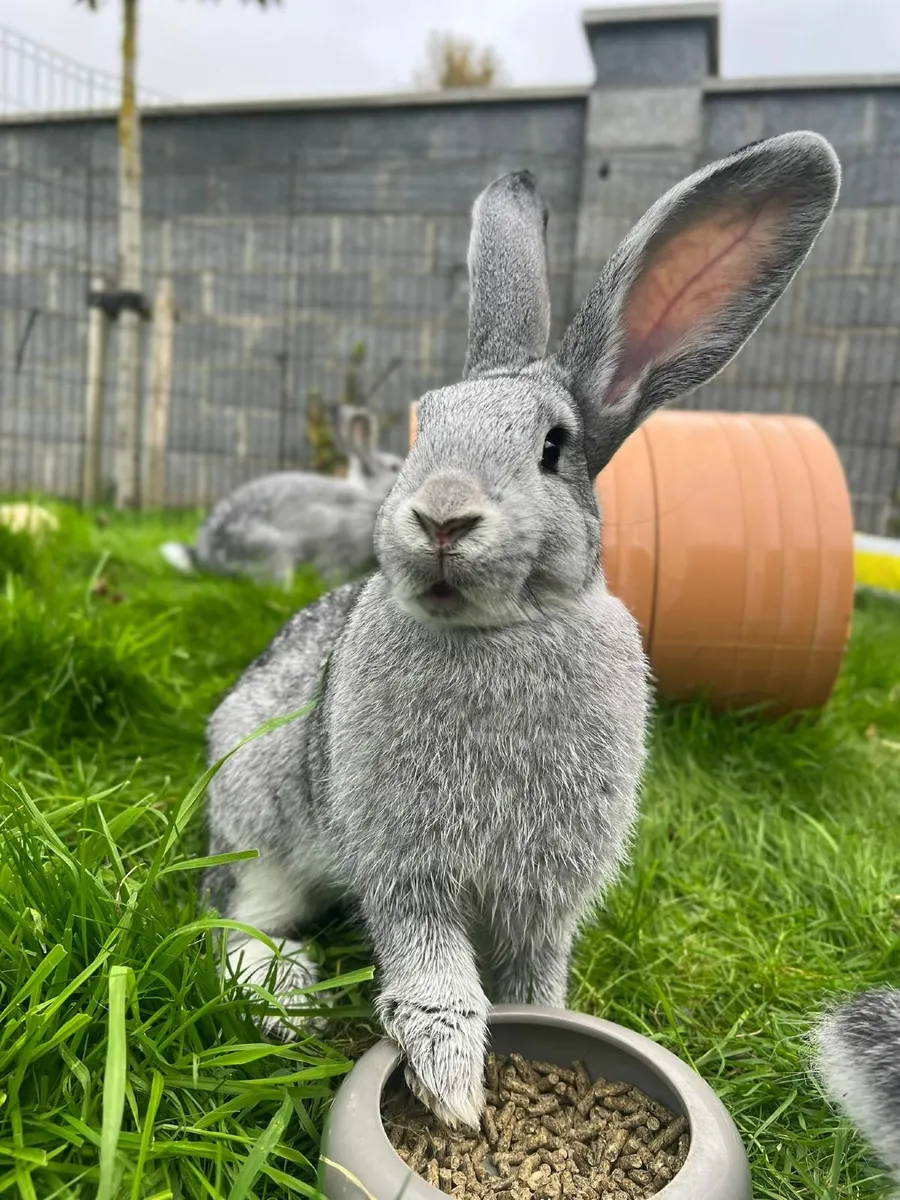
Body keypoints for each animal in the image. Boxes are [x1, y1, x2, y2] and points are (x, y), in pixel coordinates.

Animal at [202, 132, 840, 1129]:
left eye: (553, 447)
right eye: (424, 426)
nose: (442, 516)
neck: (498, 632)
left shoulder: (543, 898)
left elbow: (535, 979)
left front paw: (536, 1039)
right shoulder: (410, 875)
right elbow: (431, 973)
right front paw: (456, 1087)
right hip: (265, 821)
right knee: (230, 916)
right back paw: (288, 994)